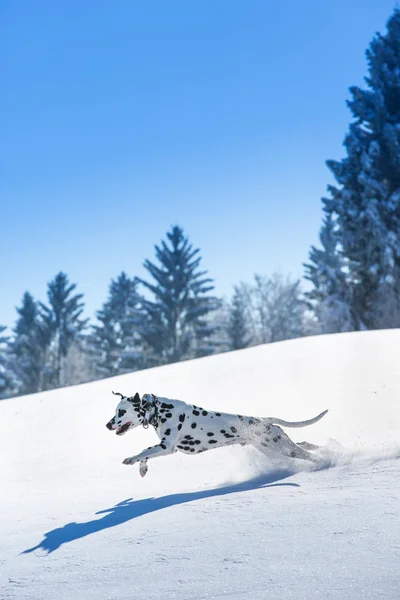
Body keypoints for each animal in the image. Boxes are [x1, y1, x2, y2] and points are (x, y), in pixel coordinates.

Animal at [106, 394, 328, 478]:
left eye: (121, 412)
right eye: (116, 411)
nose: (107, 424)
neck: (159, 409)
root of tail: (264, 420)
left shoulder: (166, 447)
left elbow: (144, 450)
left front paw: (131, 459)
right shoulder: (164, 447)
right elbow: (146, 454)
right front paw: (142, 467)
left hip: (282, 448)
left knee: (308, 455)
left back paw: (325, 461)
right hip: (273, 449)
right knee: (304, 444)